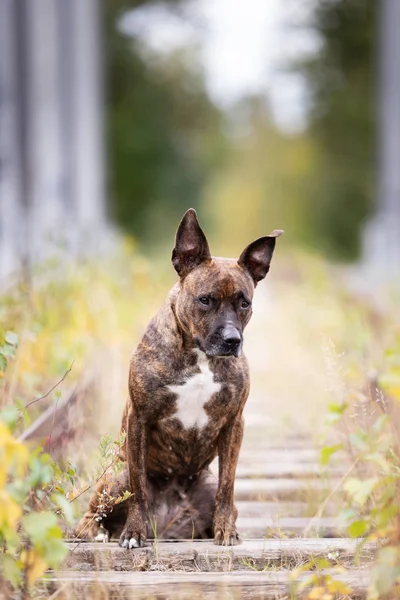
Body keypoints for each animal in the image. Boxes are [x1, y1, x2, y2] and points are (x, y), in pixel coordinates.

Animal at [75, 211, 282, 548]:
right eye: (205, 299)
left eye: (245, 303)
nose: (232, 340)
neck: (199, 356)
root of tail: (164, 525)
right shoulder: (139, 419)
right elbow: (139, 490)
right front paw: (134, 533)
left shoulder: (233, 423)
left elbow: (228, 485)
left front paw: (227, 531)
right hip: (116, 478)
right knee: (94, 513)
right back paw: (98, 532)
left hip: (205, 486)